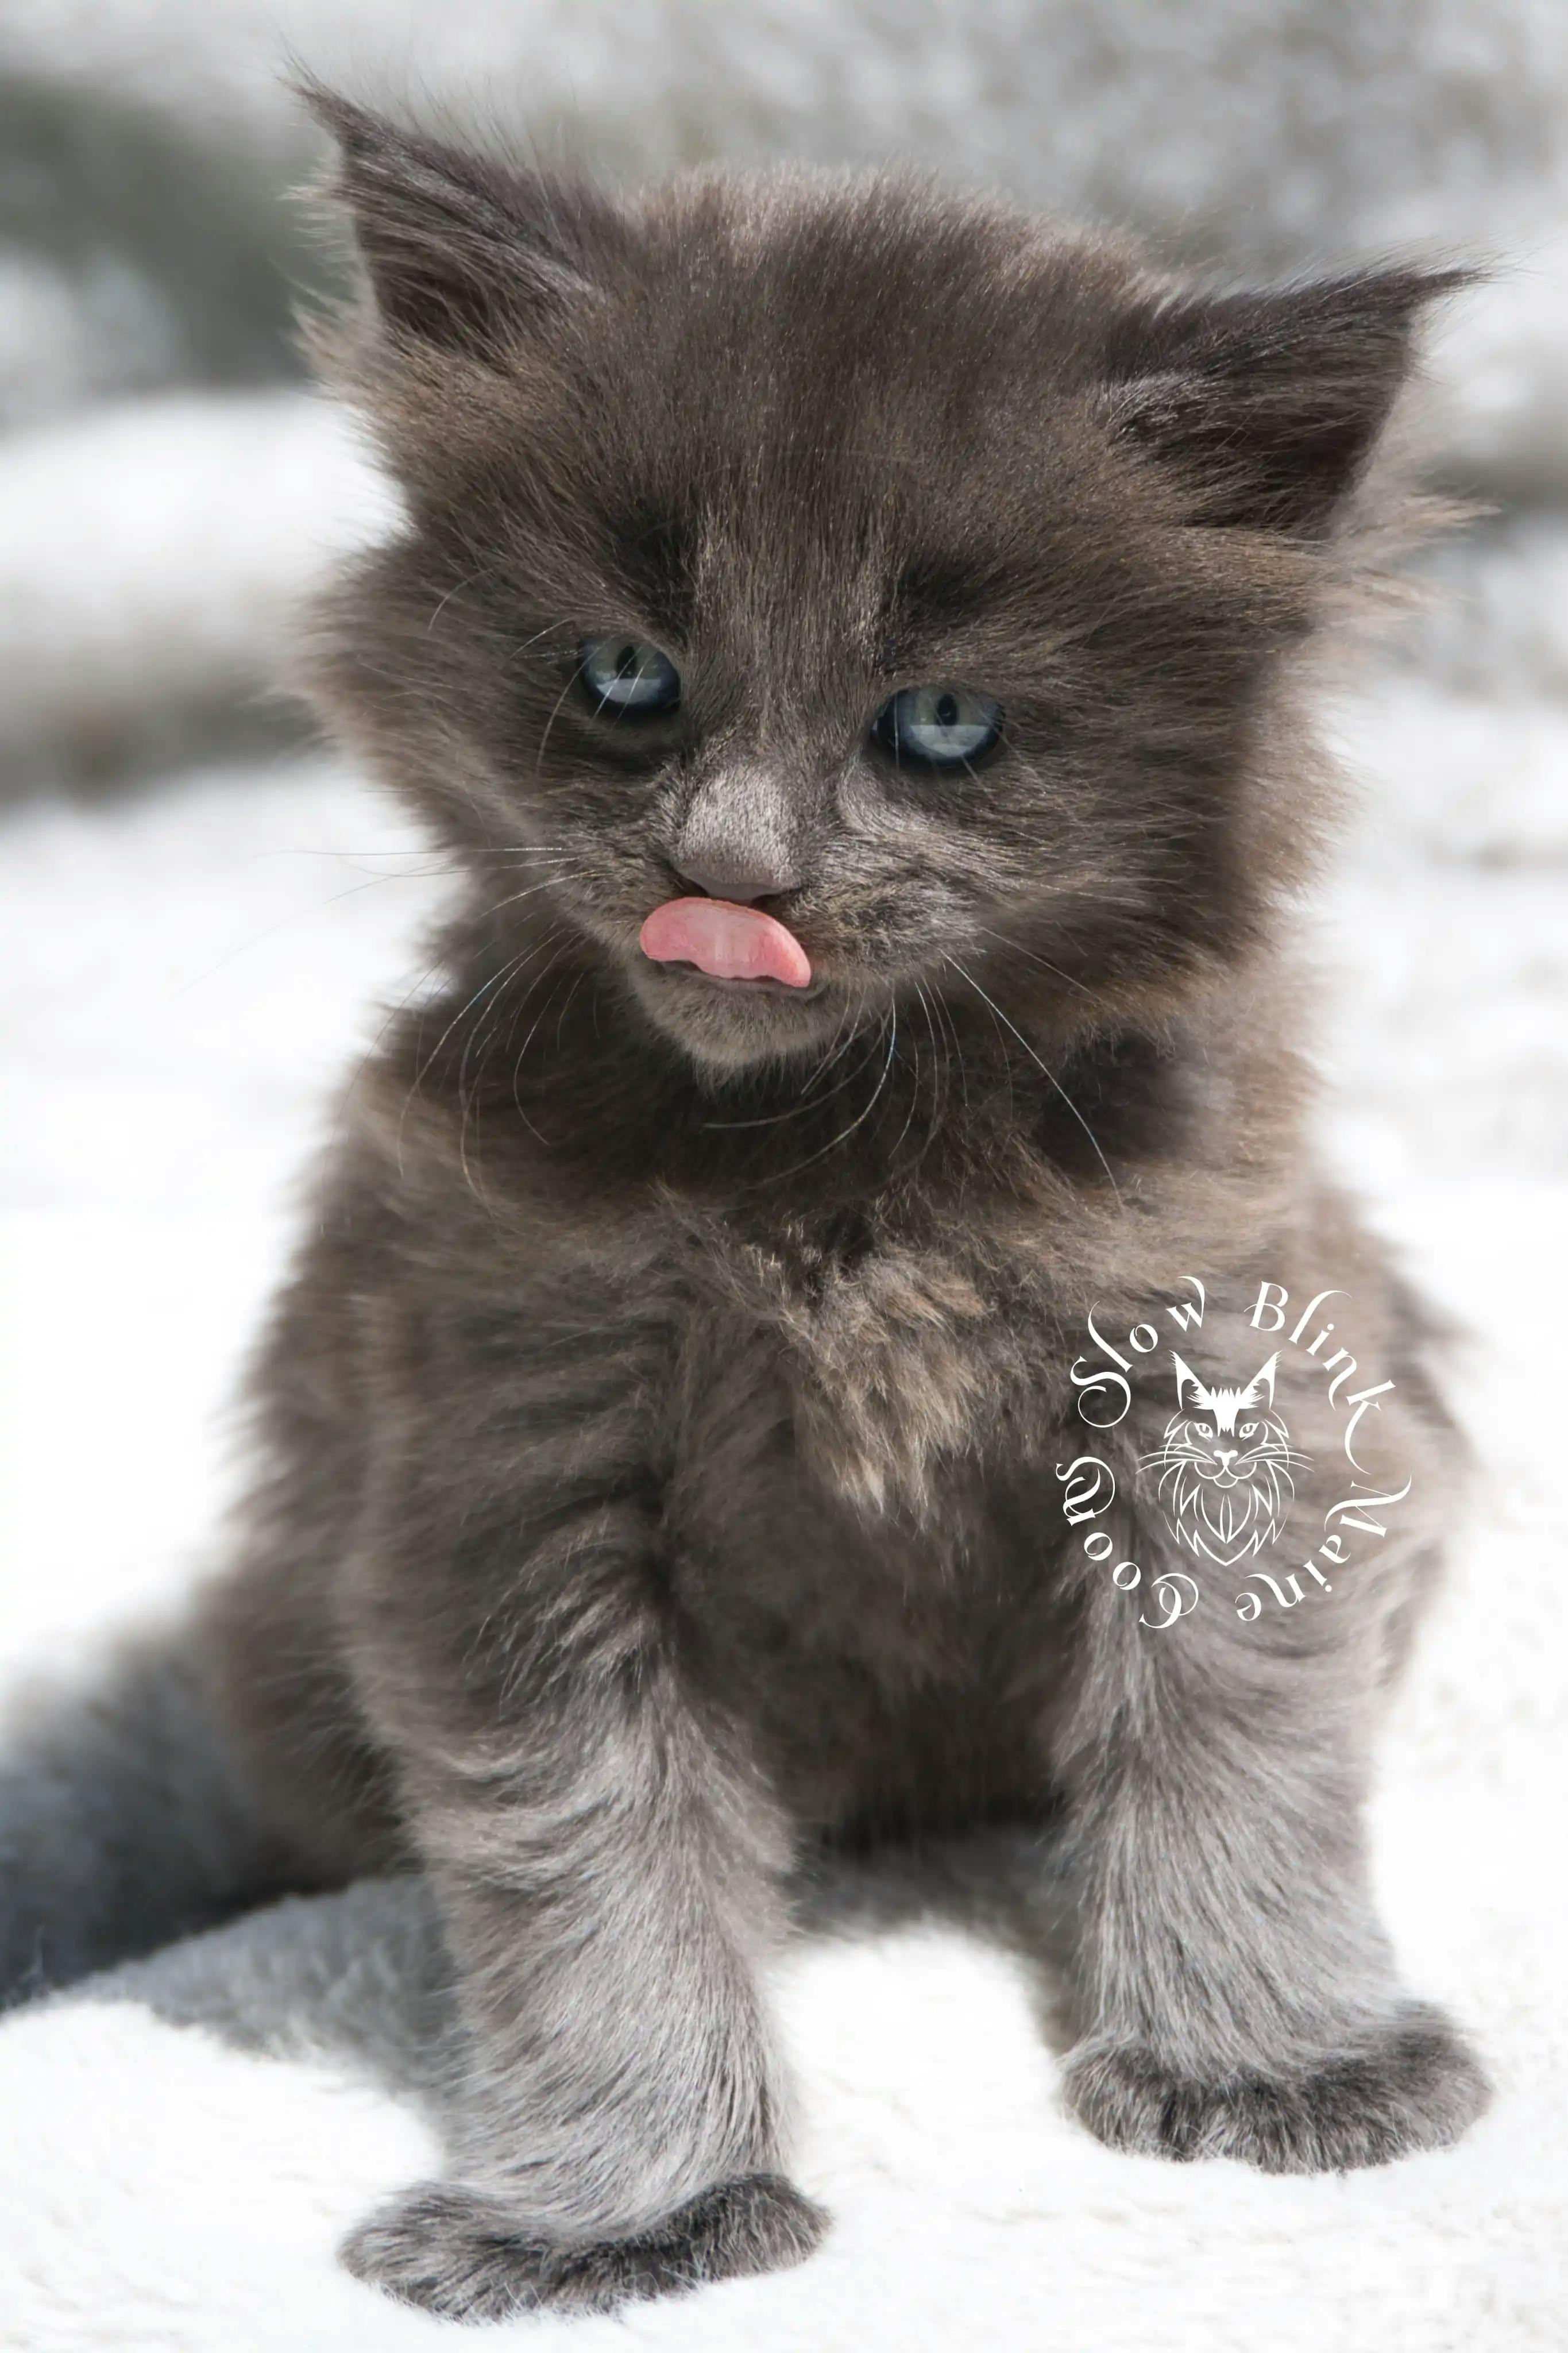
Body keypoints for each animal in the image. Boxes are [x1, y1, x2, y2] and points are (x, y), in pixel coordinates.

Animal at [0, 87, 1495, 2315]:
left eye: (941, 721)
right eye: (626, 676)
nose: (730, 874)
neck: (831, 1163)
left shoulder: (1224, 1358)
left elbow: (1235, 1737)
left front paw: (1276, 2057)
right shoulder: (511, 1451)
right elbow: (593, 1863)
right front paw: (622, 2212)